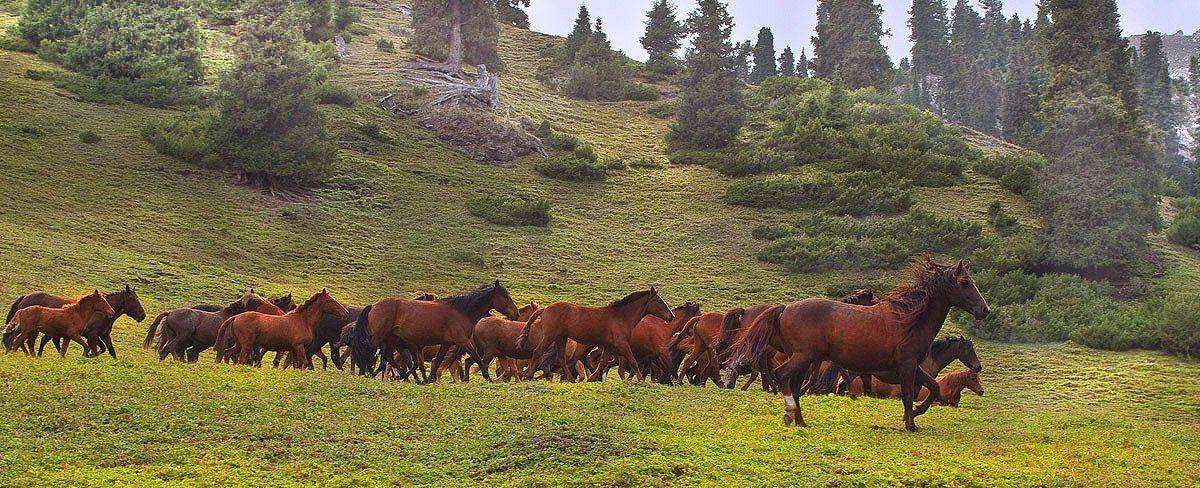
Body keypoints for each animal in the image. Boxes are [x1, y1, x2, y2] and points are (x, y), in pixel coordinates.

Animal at [5, 285, 146, 358]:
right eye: (134, 299)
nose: (143, 316)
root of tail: (24, 298)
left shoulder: (104, 336)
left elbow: (110, 351)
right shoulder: (92, 335)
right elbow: (97, 349)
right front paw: (89, 356)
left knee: (32, 341)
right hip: (31, 330)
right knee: (23, 340)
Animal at [144, 290, 283, 361]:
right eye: (259, 302)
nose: (278, 311)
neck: (230, 317)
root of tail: (171, 312)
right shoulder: (224, 345)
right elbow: (221, 357)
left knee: (164, 351)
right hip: (183, 336)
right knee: (172, 347)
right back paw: (178, 361)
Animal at [349, 281, 519, 381]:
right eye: (505, 295)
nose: (516, 314)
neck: (461, 312)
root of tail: (374, 305)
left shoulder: (446, 344)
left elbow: (437, 362)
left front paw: (430, 379)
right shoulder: (462, 341)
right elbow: (477, 358)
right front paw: (487, 377)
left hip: (390, 340)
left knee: (387, 356)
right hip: (378, 338)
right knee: (368, 352)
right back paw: (368, 373)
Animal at [517, 287, 675, 382]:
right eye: (658, 300)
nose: (671, 316)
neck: (620, 317)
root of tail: (545, 309)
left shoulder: (609, 346)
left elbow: (602, 363)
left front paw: (592, 378)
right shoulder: (622, 344)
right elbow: (633, 361)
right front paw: (641, 380)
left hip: (561, 338)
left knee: (562, 358)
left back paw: (571, 379)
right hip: (550, 336)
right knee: (538, 352)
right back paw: (528, 376)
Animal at [723, 258, 989, 431]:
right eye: (965, 282)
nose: (984, 310)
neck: (909, 320)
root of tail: (785, 308)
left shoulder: (912, 367)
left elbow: (932, 388)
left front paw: (913, 416)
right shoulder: (907, 366)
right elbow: (907, 396)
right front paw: (910, 424)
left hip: (805, 360)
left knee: (795, 384)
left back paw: (800, 421)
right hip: (803, 356)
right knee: (781, 376)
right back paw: (790, 414)